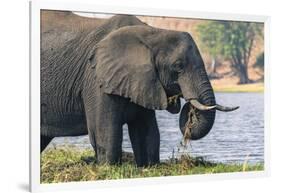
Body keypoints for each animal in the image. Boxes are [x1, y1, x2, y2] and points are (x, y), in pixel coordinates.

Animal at [40, 14, 236, 167]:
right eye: (178, 66)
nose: (189, 110)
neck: (152, 32)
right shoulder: (96, 79)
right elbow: (105, 130)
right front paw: (109, 169)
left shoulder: (142, 81)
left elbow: (146, 131)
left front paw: (149, 167)